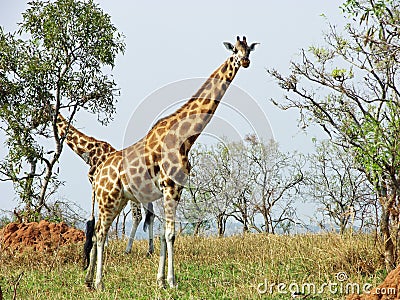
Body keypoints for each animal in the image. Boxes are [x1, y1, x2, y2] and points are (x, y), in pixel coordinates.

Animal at [55, 112, 155, 255]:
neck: (90, 150)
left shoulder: (96, 183)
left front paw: (103, 244)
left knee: (138, 216)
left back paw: (128, 249)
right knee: (150, 214)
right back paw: (149, 250)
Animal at [85, 35, 260, 290]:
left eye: (249, 50)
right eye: (234, 51)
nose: (245, 61)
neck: (184, 138)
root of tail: (98, 174)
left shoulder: (175, 189)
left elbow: (164, 234)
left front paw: (160, 281)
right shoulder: (170, 186)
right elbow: (170, 234)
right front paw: (172, 281)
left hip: (118, 199)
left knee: (100, 230)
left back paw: (89, 280)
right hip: (108, 198)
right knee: (100, 233)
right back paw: (99, 283)